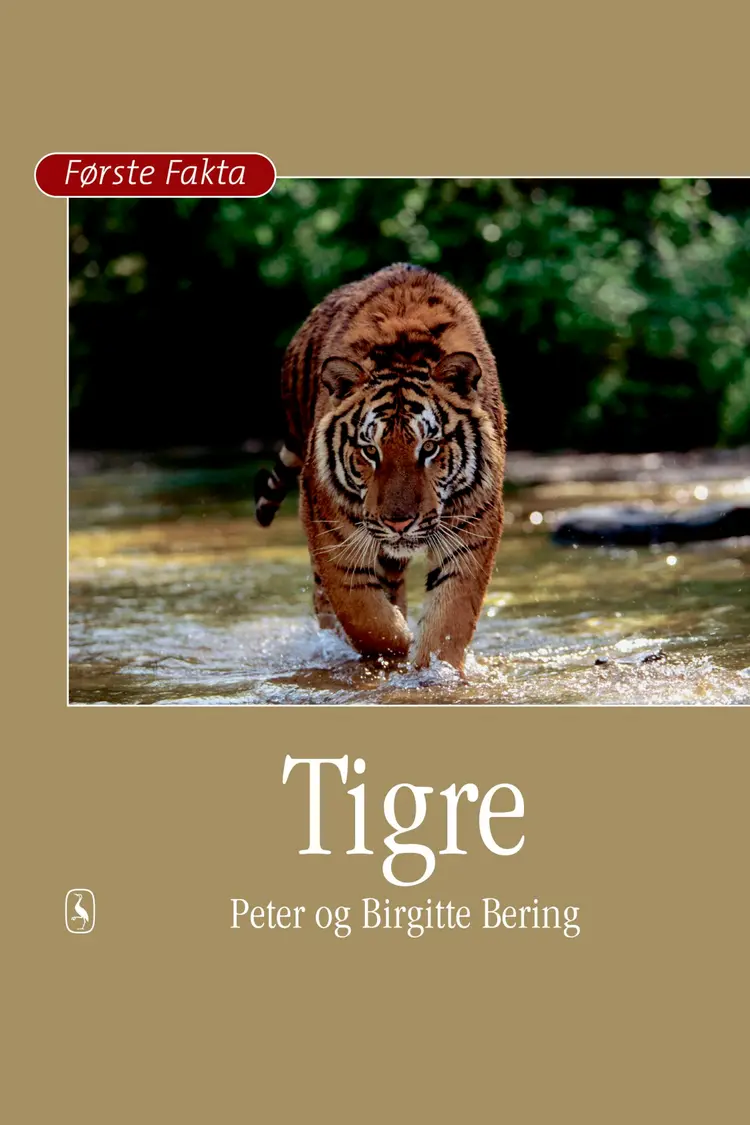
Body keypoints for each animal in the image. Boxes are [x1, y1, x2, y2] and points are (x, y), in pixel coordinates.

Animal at [255, 263, 506, 673]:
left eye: (429, 447)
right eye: (370, 451)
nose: (398, 523)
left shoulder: (473, 526)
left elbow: (449, 619)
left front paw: (432, 673)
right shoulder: (331, 529)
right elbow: (365, 617)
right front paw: (397, 648)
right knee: (326, 600)